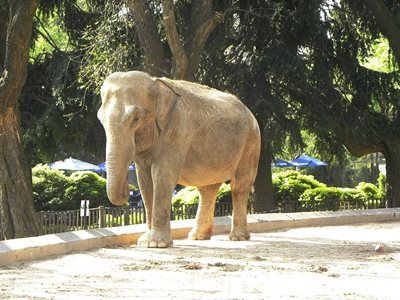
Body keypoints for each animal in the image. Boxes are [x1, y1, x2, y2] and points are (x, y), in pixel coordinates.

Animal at [96, 71, 260, 248]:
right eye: (100, 120)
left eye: (136, 118)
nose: (128, 189)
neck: (157, 84)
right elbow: (145, 182)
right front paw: (145, 242)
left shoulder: (178, 131)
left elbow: (162, 177)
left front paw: (156, 244)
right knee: (207, 189)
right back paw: (198, 237)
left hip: (251, 143)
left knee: (239, 186)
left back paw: (237, 238)